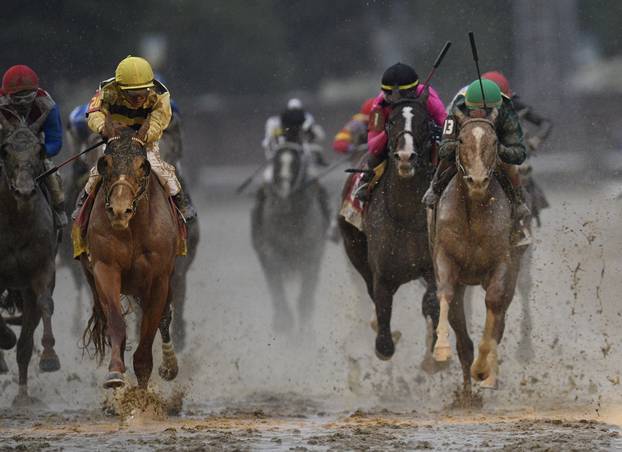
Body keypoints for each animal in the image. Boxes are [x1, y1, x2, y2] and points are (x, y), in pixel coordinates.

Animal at [83, 131, 180, 388]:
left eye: (142, 166)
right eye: (105, 164)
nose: (119, 210)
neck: (132, 229)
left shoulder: (158, 278)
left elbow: (150, 330)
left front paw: (144, 391)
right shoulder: (105, 267)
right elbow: (116, 321)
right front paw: (115, 373)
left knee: (164, 317)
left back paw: (169, 366)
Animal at [254, 141, 332, 332]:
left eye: (297, 164)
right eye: (276, 163)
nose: (283, 194)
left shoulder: (311, 253)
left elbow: (306, 294)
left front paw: (306, 331)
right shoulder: (270, 252)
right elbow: (277, 286)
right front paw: (284, 322)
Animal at [338, 93, 442, 366]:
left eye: (425, 121)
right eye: (392, 121)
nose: (406, 156)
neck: (406, 215)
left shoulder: (432, 264)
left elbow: (433, 300)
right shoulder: (382, 274)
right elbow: (382, 307)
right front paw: (384, 343)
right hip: (354, 248)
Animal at [428, 108, 528, 400]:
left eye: (494, 142)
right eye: (461, 140)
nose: (478, 180)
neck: (473, 208)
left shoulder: (502, 262)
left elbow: (494, 306)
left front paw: (484, 369)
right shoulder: (445, 256)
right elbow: (445, 294)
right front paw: (441, 350)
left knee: (500, 316)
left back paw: (488, 377)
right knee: (461, 331)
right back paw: (466, 393)